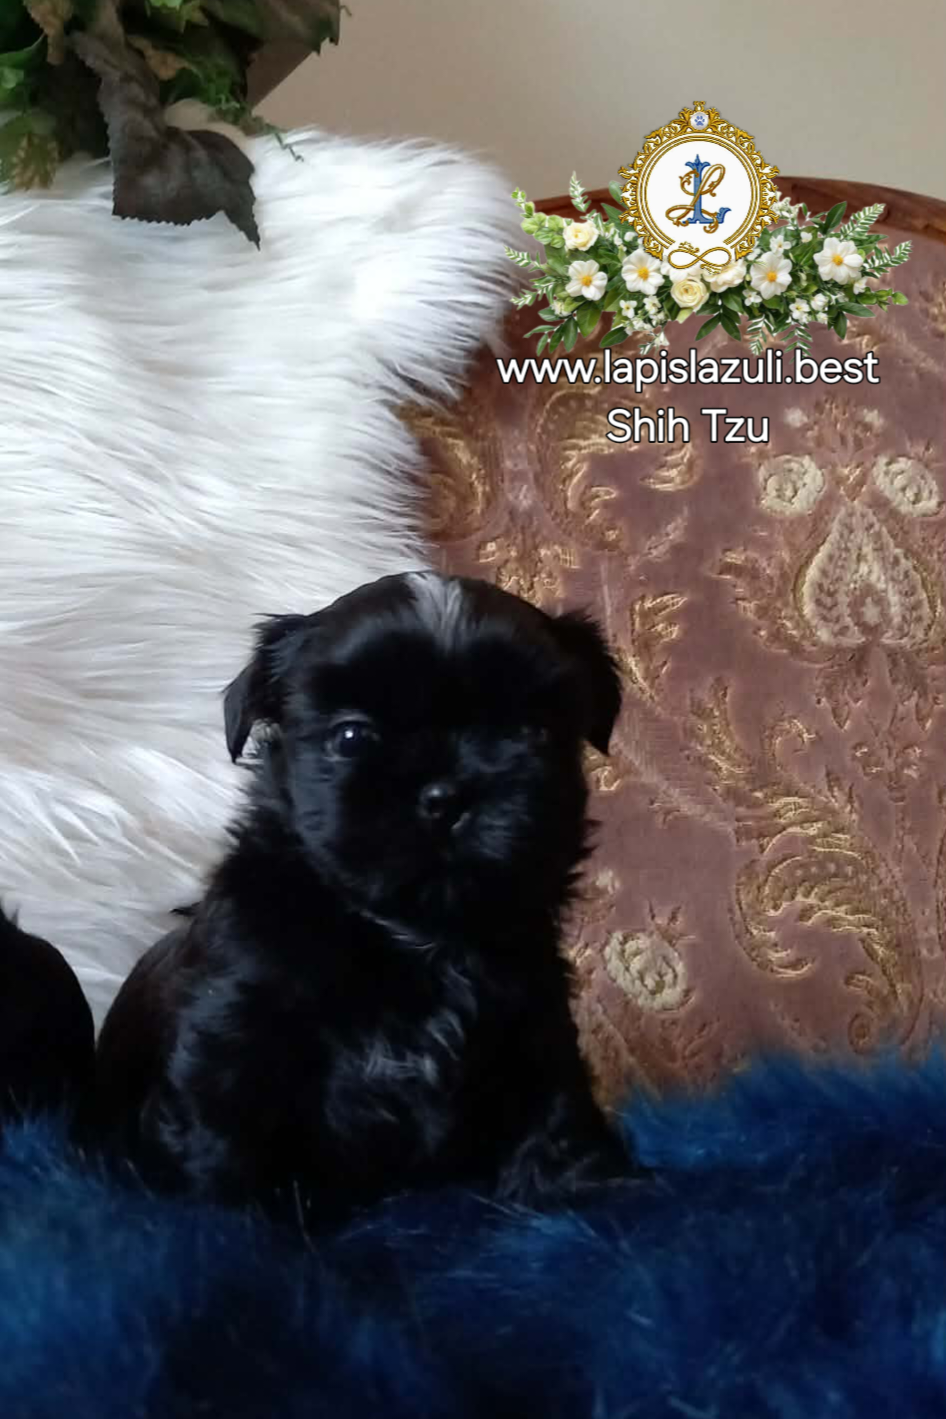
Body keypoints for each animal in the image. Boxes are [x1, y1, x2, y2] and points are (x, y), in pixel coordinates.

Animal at [95, 573, 631, 1221]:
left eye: (535, 732)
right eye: (351, 737)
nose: (444, 795)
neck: (413, 936)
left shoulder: (534, 1021)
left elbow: (555, 1110)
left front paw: (578, 1194)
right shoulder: (233, 1032)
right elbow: (219, 1138)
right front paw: (222, 1221)